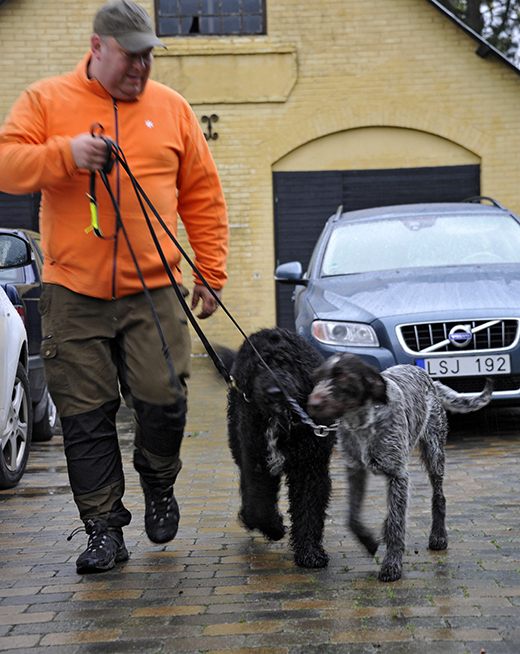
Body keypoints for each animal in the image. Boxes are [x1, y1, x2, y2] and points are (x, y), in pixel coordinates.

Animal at [221, 330, 336, 568]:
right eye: (259, 364)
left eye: (287, 363)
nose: (274, 391)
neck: (280, 419)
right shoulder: (258, 461)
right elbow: (259, 501)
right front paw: (272, 528)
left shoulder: (310, 467)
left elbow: (309, 508)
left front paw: (310, 552)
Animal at [306, 354, 494, 584]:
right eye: (317, 378)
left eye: (342, 377)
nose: (312, 404)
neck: (365, 423)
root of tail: (428, 378)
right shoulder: (355, 471)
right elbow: (352, 518)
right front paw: (369, 541)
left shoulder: (398, 474)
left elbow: (397, 523)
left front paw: (392, 565)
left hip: (434, 451)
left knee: (438, 496)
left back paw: (438, 535)